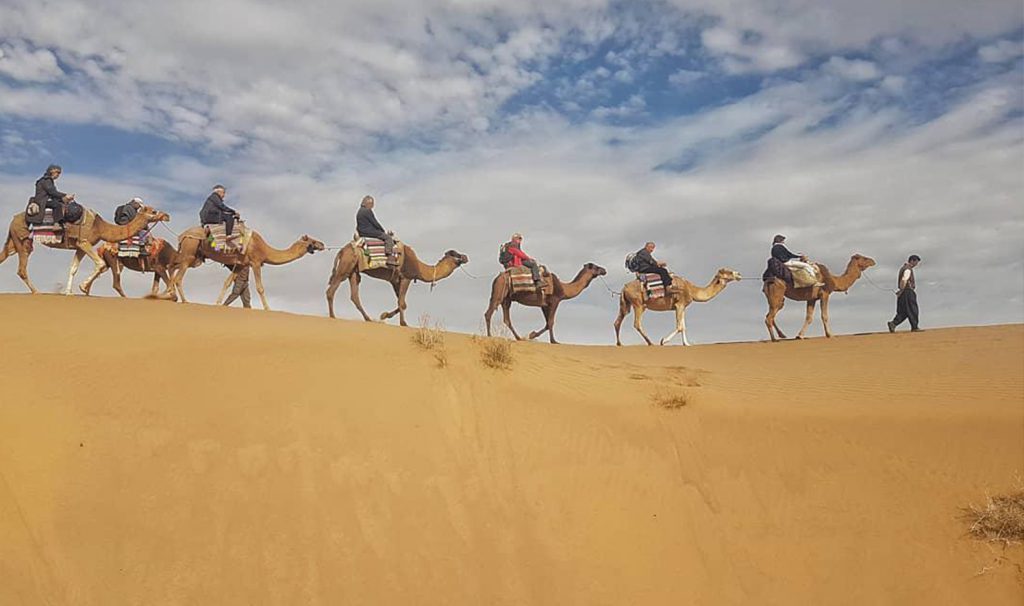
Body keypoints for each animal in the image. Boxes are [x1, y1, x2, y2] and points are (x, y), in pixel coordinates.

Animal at [0, 205, 169, 296]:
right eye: (154, 211)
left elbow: (73, 268)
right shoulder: (85, 241)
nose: (167, 216)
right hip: (22, 240)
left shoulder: (79, 246)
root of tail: (13, 220)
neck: (100, 227)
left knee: (3, 257)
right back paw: (36, 291)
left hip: (13, 241)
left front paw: (69, 292)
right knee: (22, 269)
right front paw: (82, 287)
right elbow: (100, 263)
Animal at [171, 228, 323, 313]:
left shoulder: (240, 265)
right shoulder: (255, 262)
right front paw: (268, 308)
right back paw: (184, 300)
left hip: (195, 257)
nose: (322, 244)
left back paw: (170, 294)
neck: (265, 250)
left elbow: (227, 283)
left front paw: (218, 303)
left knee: (173, 266)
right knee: (178, 276)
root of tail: (182, 235)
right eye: (312, 241)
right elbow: (260, 287)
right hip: (190, 250)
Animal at [327, 242, 468, 327]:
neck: (419, 268)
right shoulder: (406, 277)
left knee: (354, 295)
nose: (466, 257)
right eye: (455, 254)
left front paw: (384, 315)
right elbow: (402, 302)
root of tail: (342, 250)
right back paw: (332, 316)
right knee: (331, 290)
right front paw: (403, 323)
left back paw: (368, 319)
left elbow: (400, 302)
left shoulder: (395, 281)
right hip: (345, 266)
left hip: (353, 271)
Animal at [610, 266, 741, 345]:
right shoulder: (679, 305)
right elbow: (679, 326)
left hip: (626, 305)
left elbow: (683, 326)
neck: (691, 289)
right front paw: (663, 341)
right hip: (639, 304)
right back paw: (650, 342)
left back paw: (619, 343)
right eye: (729, 272)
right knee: (637, 323)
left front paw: (686, 344)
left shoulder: (682, 307)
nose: (739, 274)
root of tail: (624, 288)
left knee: (617, 321)